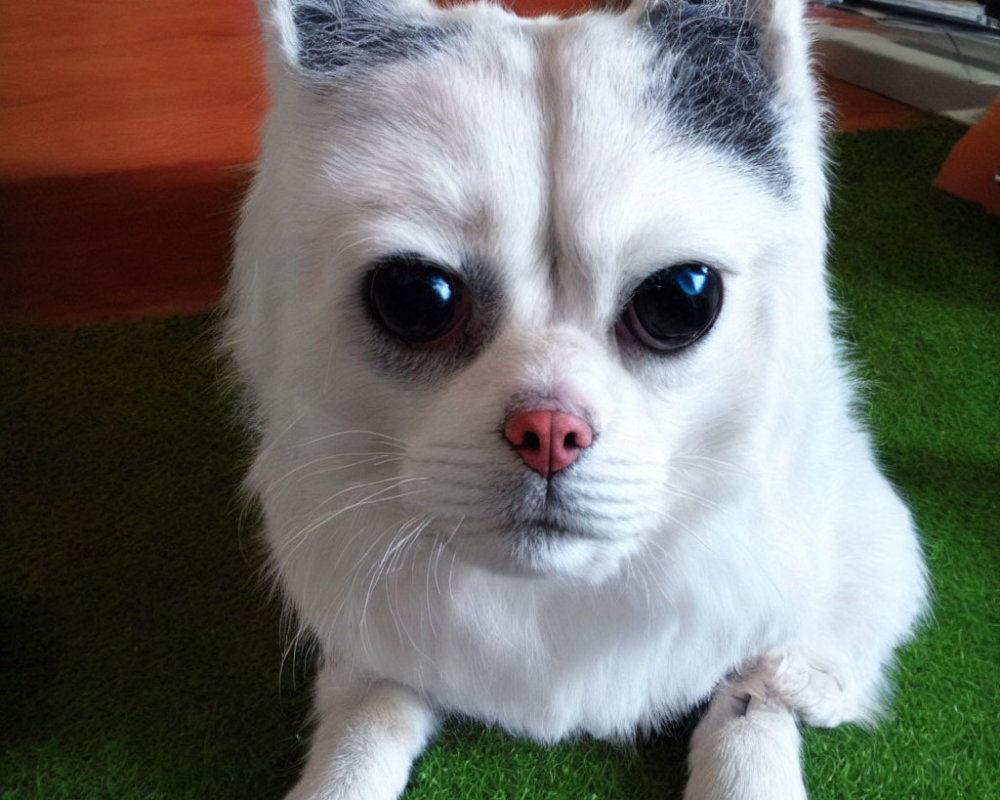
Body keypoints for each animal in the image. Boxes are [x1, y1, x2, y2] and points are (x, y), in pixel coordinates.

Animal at [227, 1, 928, 800]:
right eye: (416, 298)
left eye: (681, 298)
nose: (548, 429)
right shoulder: (368, 649)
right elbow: (357, 741)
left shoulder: (864, 524)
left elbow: (763, 694)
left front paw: (795, 688)